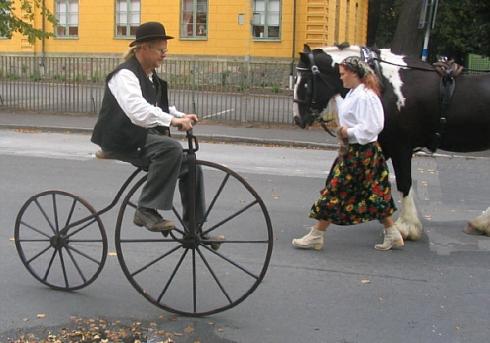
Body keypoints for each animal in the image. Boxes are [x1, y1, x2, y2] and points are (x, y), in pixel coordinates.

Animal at [290, 43, 490, 239]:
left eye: (305, 83)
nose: (298, 119)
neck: (386, 84)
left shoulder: (400, 146)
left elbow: (404, 182)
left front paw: (407, 226)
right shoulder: (384, 144)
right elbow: (334, 174)